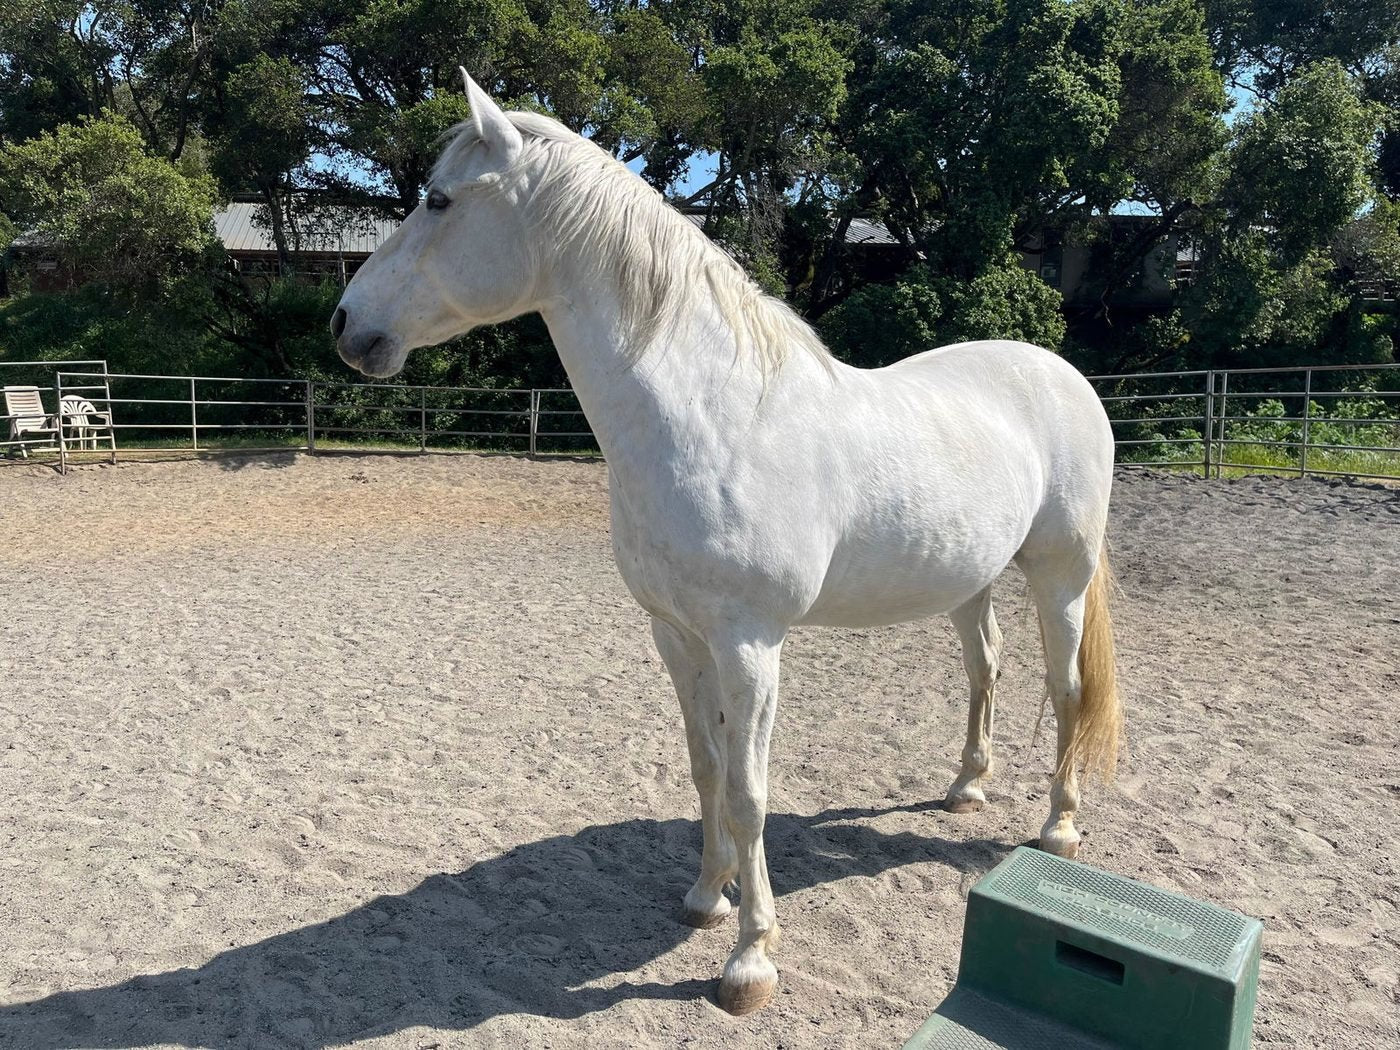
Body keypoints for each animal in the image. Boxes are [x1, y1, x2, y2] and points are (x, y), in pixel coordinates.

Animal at [331, 70, 1122, 1016]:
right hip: (970, 581)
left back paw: (1060, 828)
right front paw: (706, 898)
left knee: (1066, 689)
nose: (345, 324)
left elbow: (748, 793)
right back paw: (966, 787)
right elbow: (705, 768)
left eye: (439, 200)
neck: (715, 417)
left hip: (1060, 574)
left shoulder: (750, 645)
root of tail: (1062, 373)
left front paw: (750, 960)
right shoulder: (677, 634)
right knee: (986, 666)